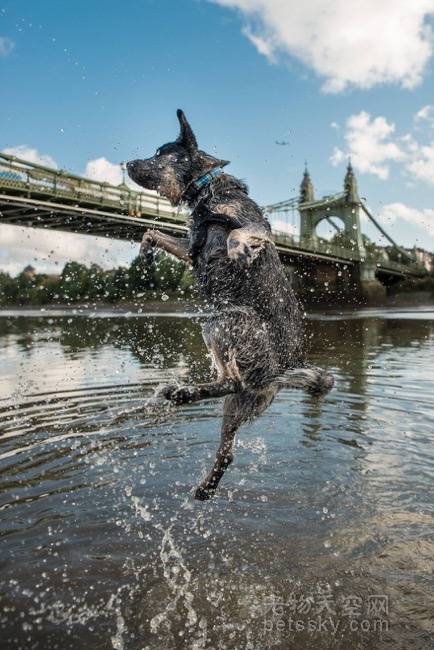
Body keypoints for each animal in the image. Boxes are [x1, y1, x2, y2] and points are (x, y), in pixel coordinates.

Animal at [127, 109, 334, 498]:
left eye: (161, 153)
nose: (128, 163)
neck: (207, 190)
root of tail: (278, 374)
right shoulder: (189, 246)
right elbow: (152, 232)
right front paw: (145, 252)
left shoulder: (258, 230)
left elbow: (238, 233)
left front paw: (238, 251)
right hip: (234, 402)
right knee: (227, 448)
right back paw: (203, 477)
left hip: (220, 323)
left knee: (232, 381)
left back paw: (183, 391)